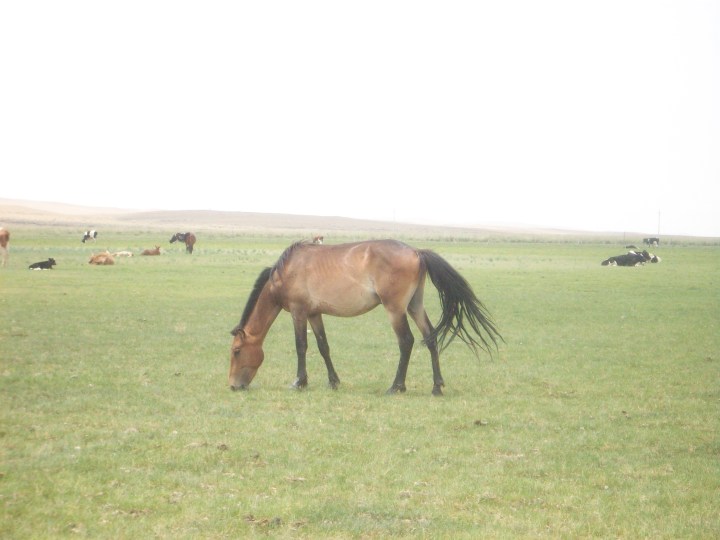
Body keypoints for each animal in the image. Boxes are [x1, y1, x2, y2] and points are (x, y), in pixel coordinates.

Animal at [228, 239, 502, 396]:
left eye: (236, 351)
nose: (233, 385)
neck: (284, 273)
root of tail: (416, 252)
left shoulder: (298, 312)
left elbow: (301, 346)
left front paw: (299, 382)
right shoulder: (315, 313)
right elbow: (323, 347)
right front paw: (333, 382)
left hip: (395, 309)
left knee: (406, 342)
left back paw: (396, 386)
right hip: (415, 306)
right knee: (430, 338)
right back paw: (436, 386)